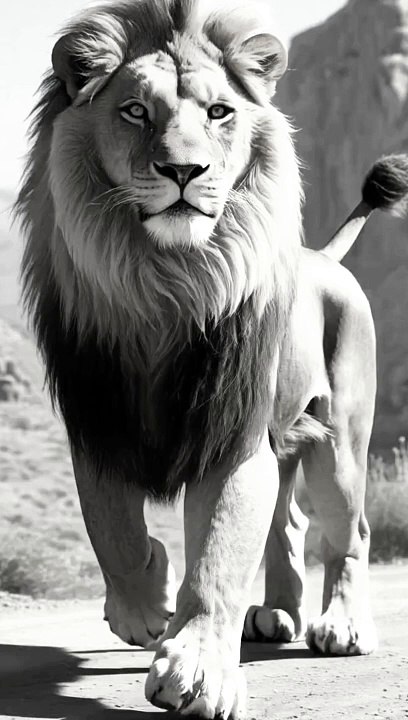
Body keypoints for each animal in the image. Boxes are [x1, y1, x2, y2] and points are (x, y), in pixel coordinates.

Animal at [15, 0, 408, 716]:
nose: (184, 172)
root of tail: (320, 256)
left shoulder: (231, 433)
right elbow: (112, 531)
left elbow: (220, 554)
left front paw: (199, 665)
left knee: (351, 531)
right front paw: (146, 604)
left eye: (220, 112)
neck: (166, 282)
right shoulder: (98, 423)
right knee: (288, 521)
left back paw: (340, 626)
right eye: (135, 111)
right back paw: (275, 614)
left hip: (341, 442)